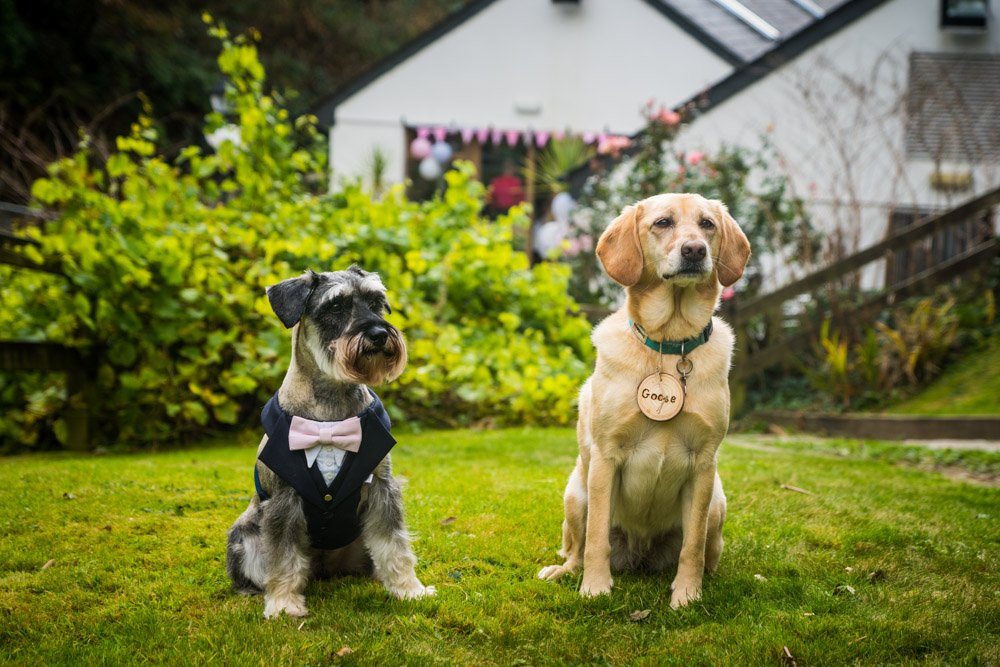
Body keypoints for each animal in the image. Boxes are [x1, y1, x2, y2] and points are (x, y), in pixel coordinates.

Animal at [229, 268, 436, 620]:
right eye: (335, 306)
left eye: (376, 302)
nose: (379, 334)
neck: (330, 414)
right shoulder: (284, 499)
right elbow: (283, 557)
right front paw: (284, 603)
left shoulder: (382, 489)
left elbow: (394, 544)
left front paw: (410, 590)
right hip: (244, 537)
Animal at [540, 193, 752, 612]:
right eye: (663, 222)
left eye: (707, 224)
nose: (694, 250)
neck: (671, 345)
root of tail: (640, 555)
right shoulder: (606, 458)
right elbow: (596, 540)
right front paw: (595, 588)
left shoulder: (703, 464)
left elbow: (692, 547)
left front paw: (687, 594)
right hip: (576, 494)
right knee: (577, 549)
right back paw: (564, 571)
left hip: (717, 504)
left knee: (707, 552)